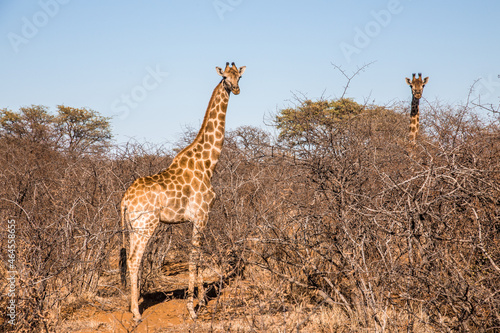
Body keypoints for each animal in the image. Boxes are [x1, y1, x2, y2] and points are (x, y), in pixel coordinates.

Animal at [121, 62, 246, 320]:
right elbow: (193, 258)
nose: (236, 89)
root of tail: (125, 200)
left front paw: (201, 300)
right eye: (225, 78)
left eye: (239, 77)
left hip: (132, 226)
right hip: (145, 224)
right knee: (135, 259)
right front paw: (192, 309)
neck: (208, 164)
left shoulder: (197, 218)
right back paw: (137, 313)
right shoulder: (201, 215)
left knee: (129, 259)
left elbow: (198, 259)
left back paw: (132, 305)